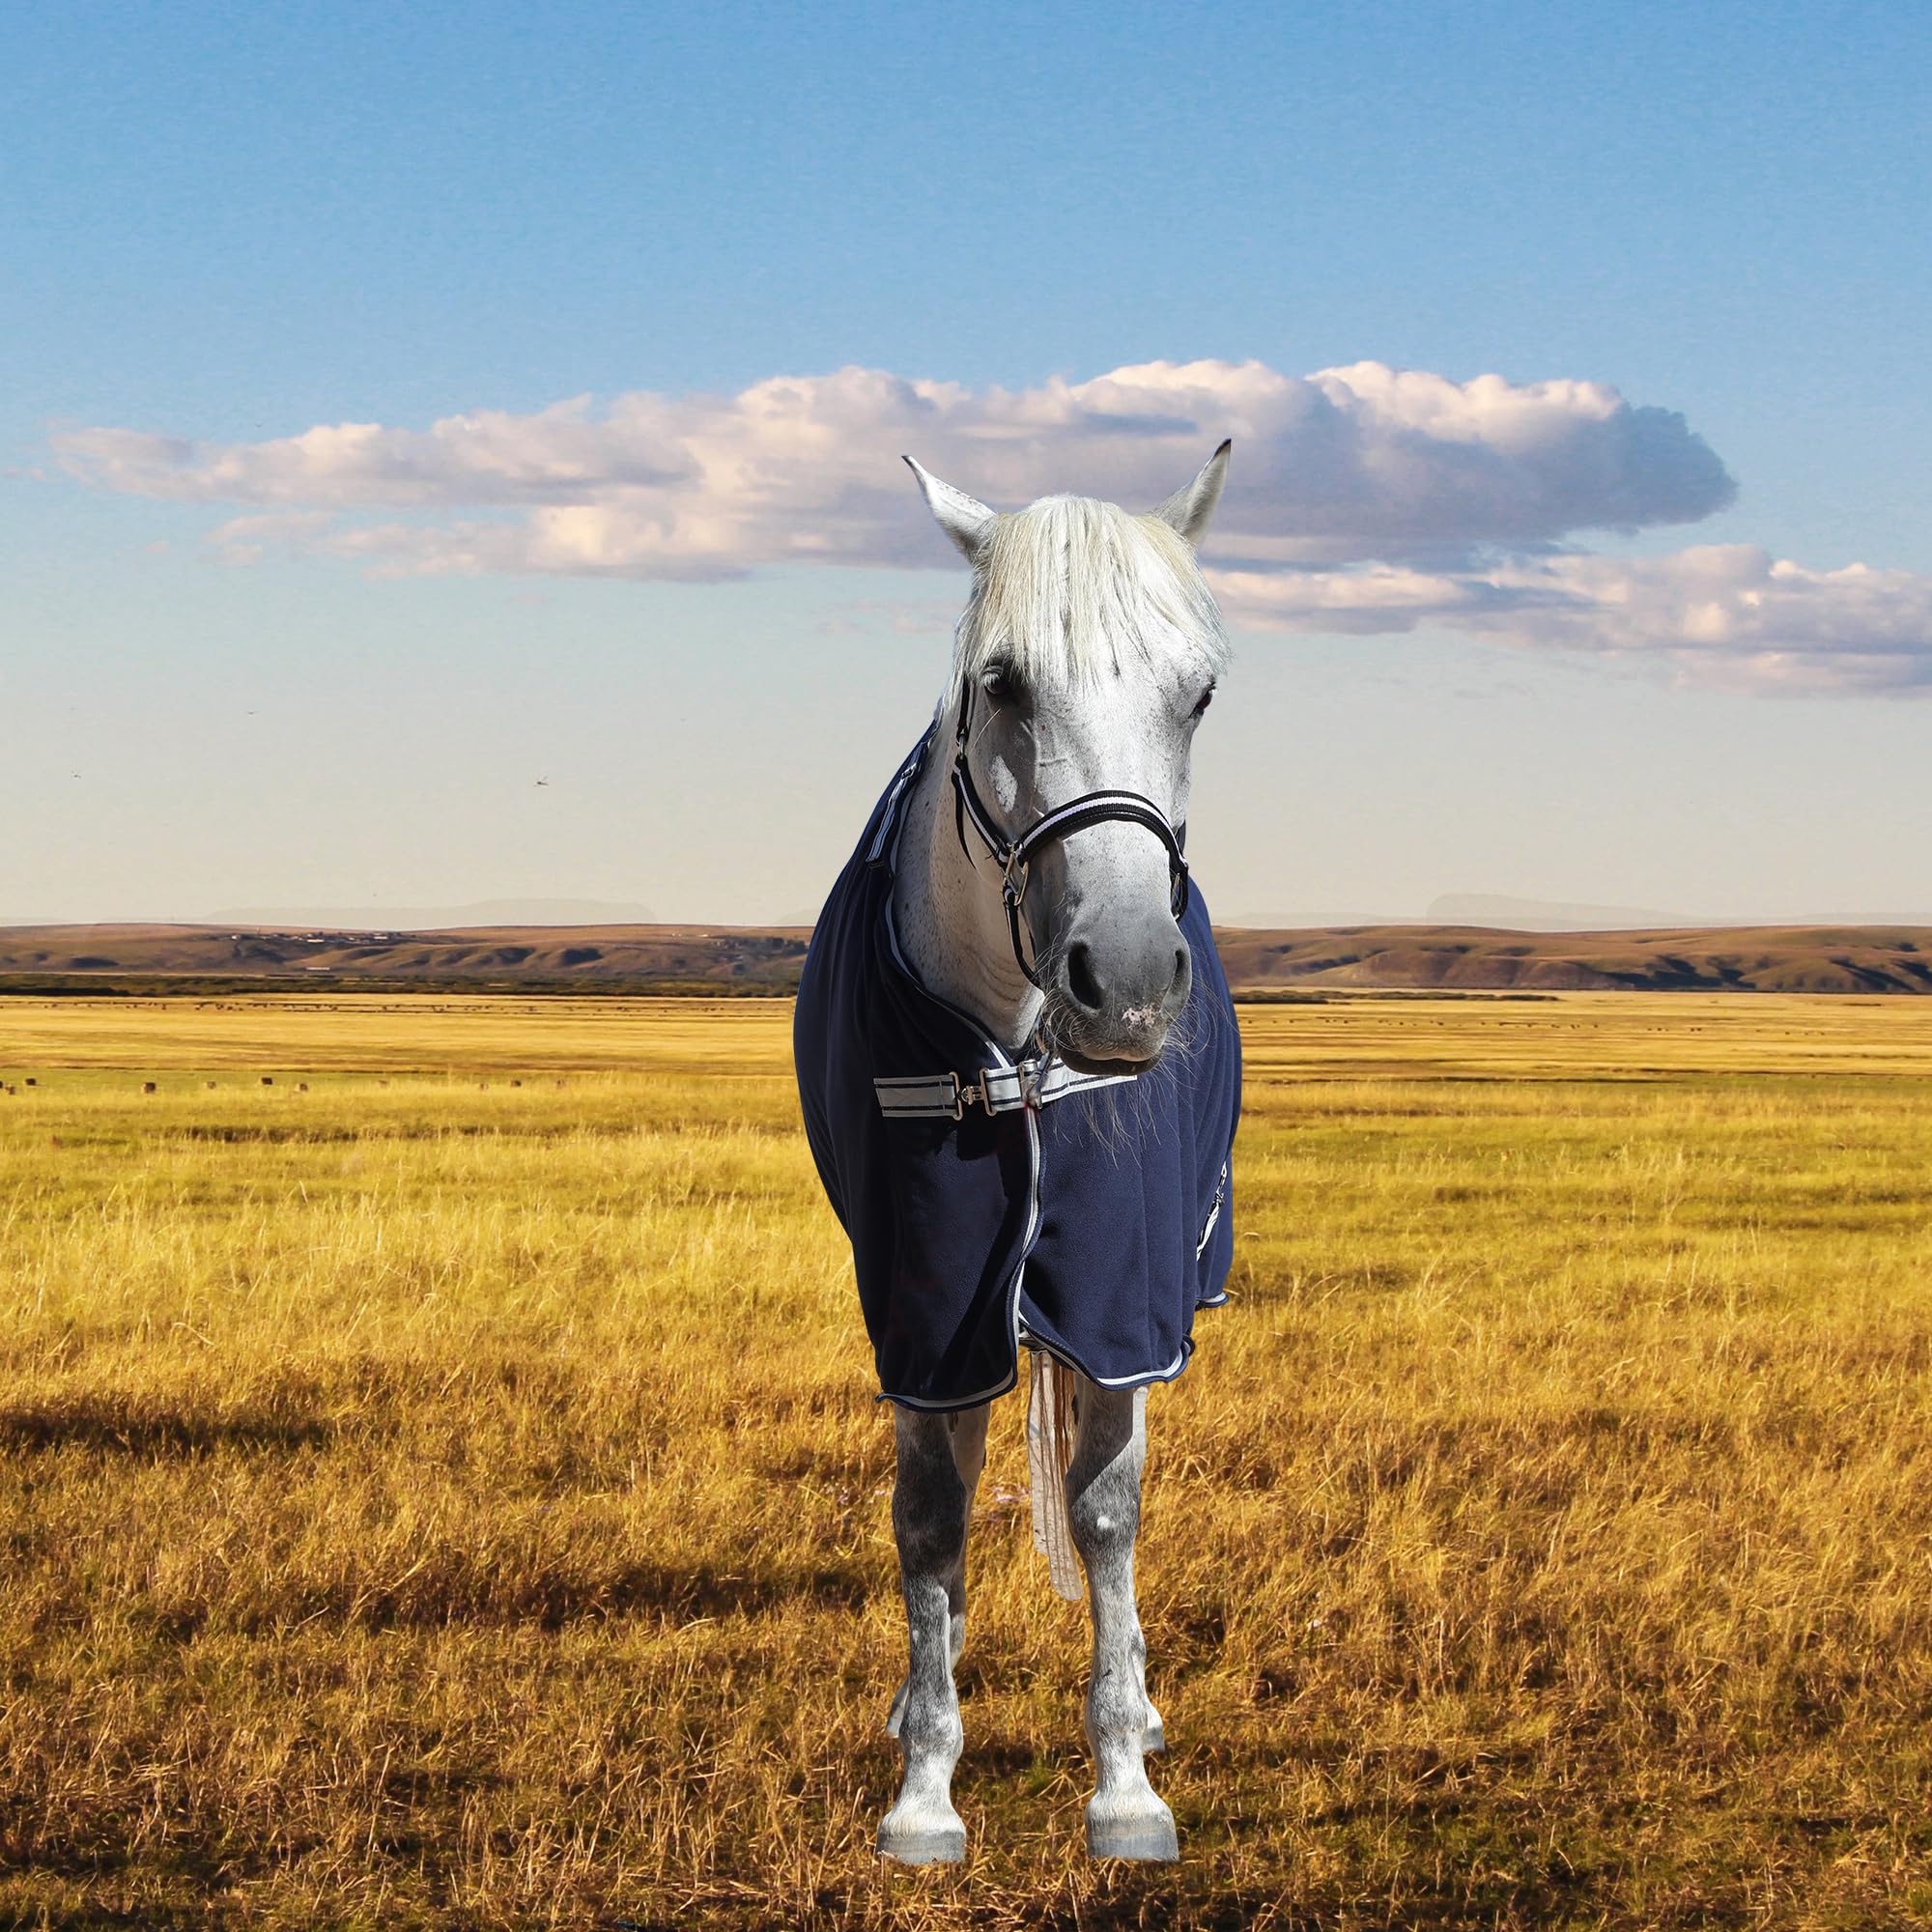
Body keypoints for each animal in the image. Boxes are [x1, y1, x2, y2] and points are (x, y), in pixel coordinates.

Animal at [793, 444, 1242, 1863]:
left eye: (1199, 693)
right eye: (1000, 683)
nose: (1128, 983)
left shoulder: (1119, 1299)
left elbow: (1104, 1512)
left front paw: (1122, 1784)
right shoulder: (926, 1308)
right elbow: (930, 1516)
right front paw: (926, 1787)